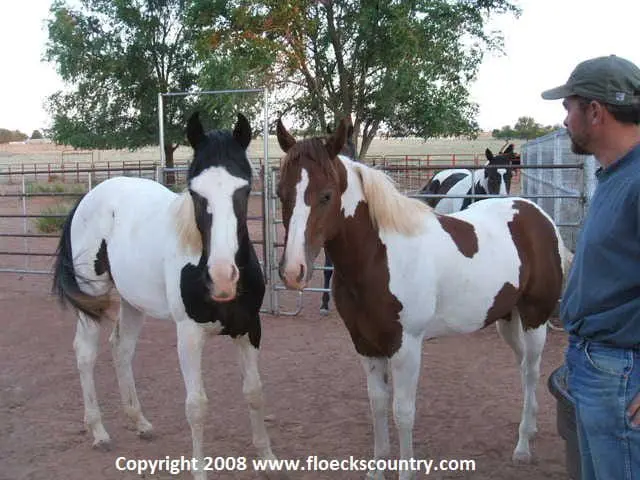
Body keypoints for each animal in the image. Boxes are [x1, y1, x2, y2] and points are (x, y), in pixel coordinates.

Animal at [52, 112, 276, 480]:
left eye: (244, 189)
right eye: (195, 192)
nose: (222, 278)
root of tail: (89, 197)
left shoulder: (249, 329)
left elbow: (255, 392)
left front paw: (268, 458)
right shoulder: (189, 335)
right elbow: (197, 406)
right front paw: (199, 472)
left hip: (132, 302)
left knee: (121, 349)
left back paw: (140, 422)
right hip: (92, 296)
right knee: (85, 353)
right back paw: (99, 432)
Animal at [275, 117, 572, 479]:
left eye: (326, 195)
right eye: (280, 193)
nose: (293, 271)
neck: (380, 257)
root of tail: (537, 215)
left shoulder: (406, 347)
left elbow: (402, 412)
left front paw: (405, 471)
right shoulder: (365, 344)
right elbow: (377, 406)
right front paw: (376, 470)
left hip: (534, 317)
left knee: (531, 370)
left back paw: (523, 446)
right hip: (507, 319)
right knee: (523, 366)